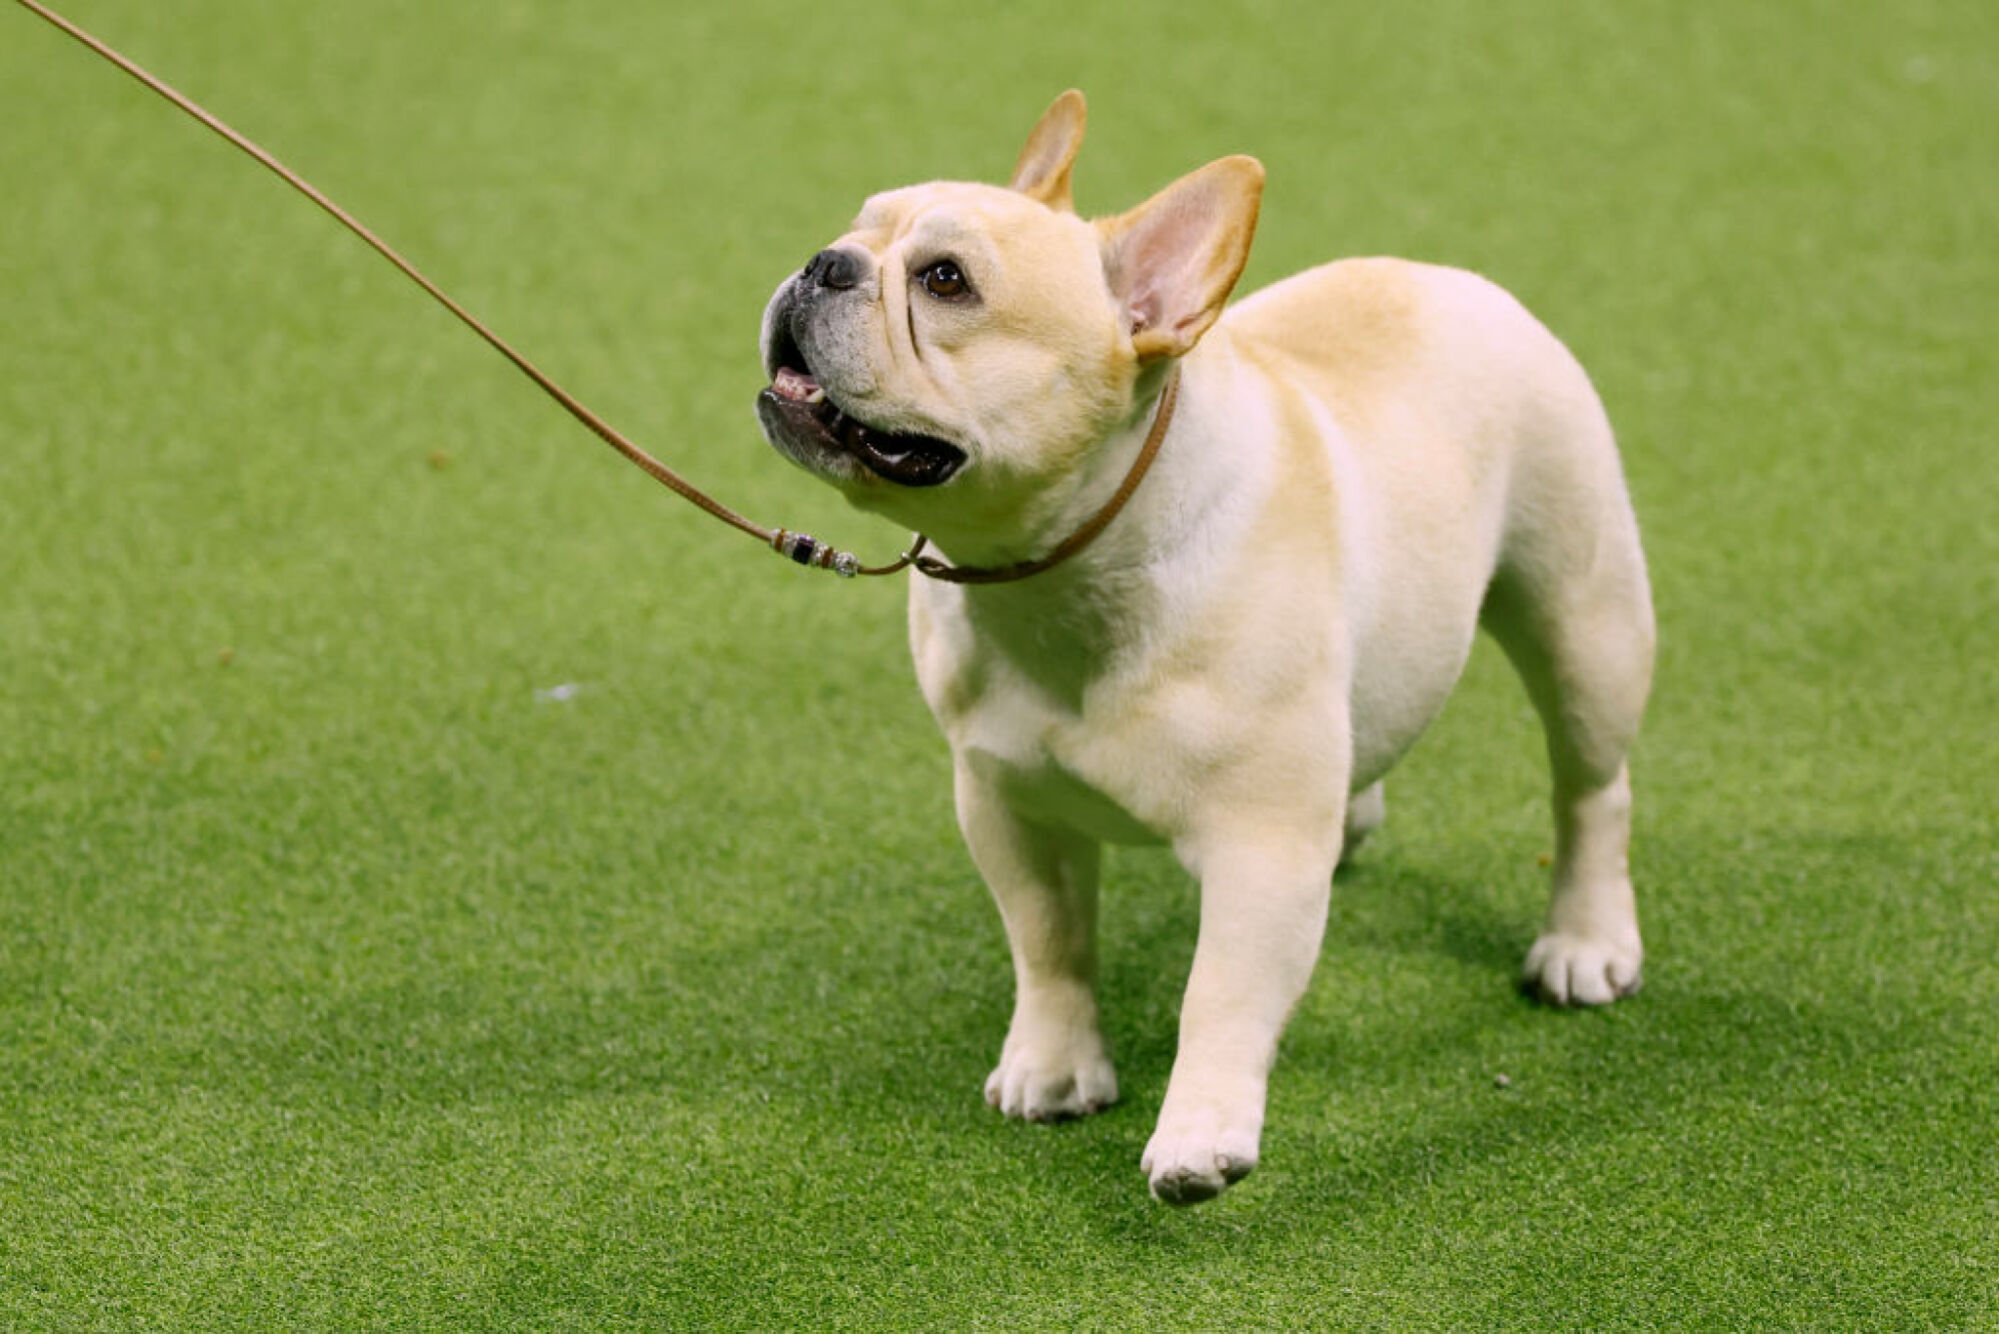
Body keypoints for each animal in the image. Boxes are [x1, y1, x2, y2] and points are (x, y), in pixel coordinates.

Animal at [751, 88, 1655, 1208]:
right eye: (856, 227)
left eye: (945, 281)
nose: (822, 262)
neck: (1059, 572)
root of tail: (1446, 279)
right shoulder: (1005, 802)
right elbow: (1047, 941)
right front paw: (1053, 1063)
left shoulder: (1256, 849)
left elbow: (1218, 995)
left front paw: (1199, 1134)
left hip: (1581, 619)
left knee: (1590, 789)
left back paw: (1586, 939)